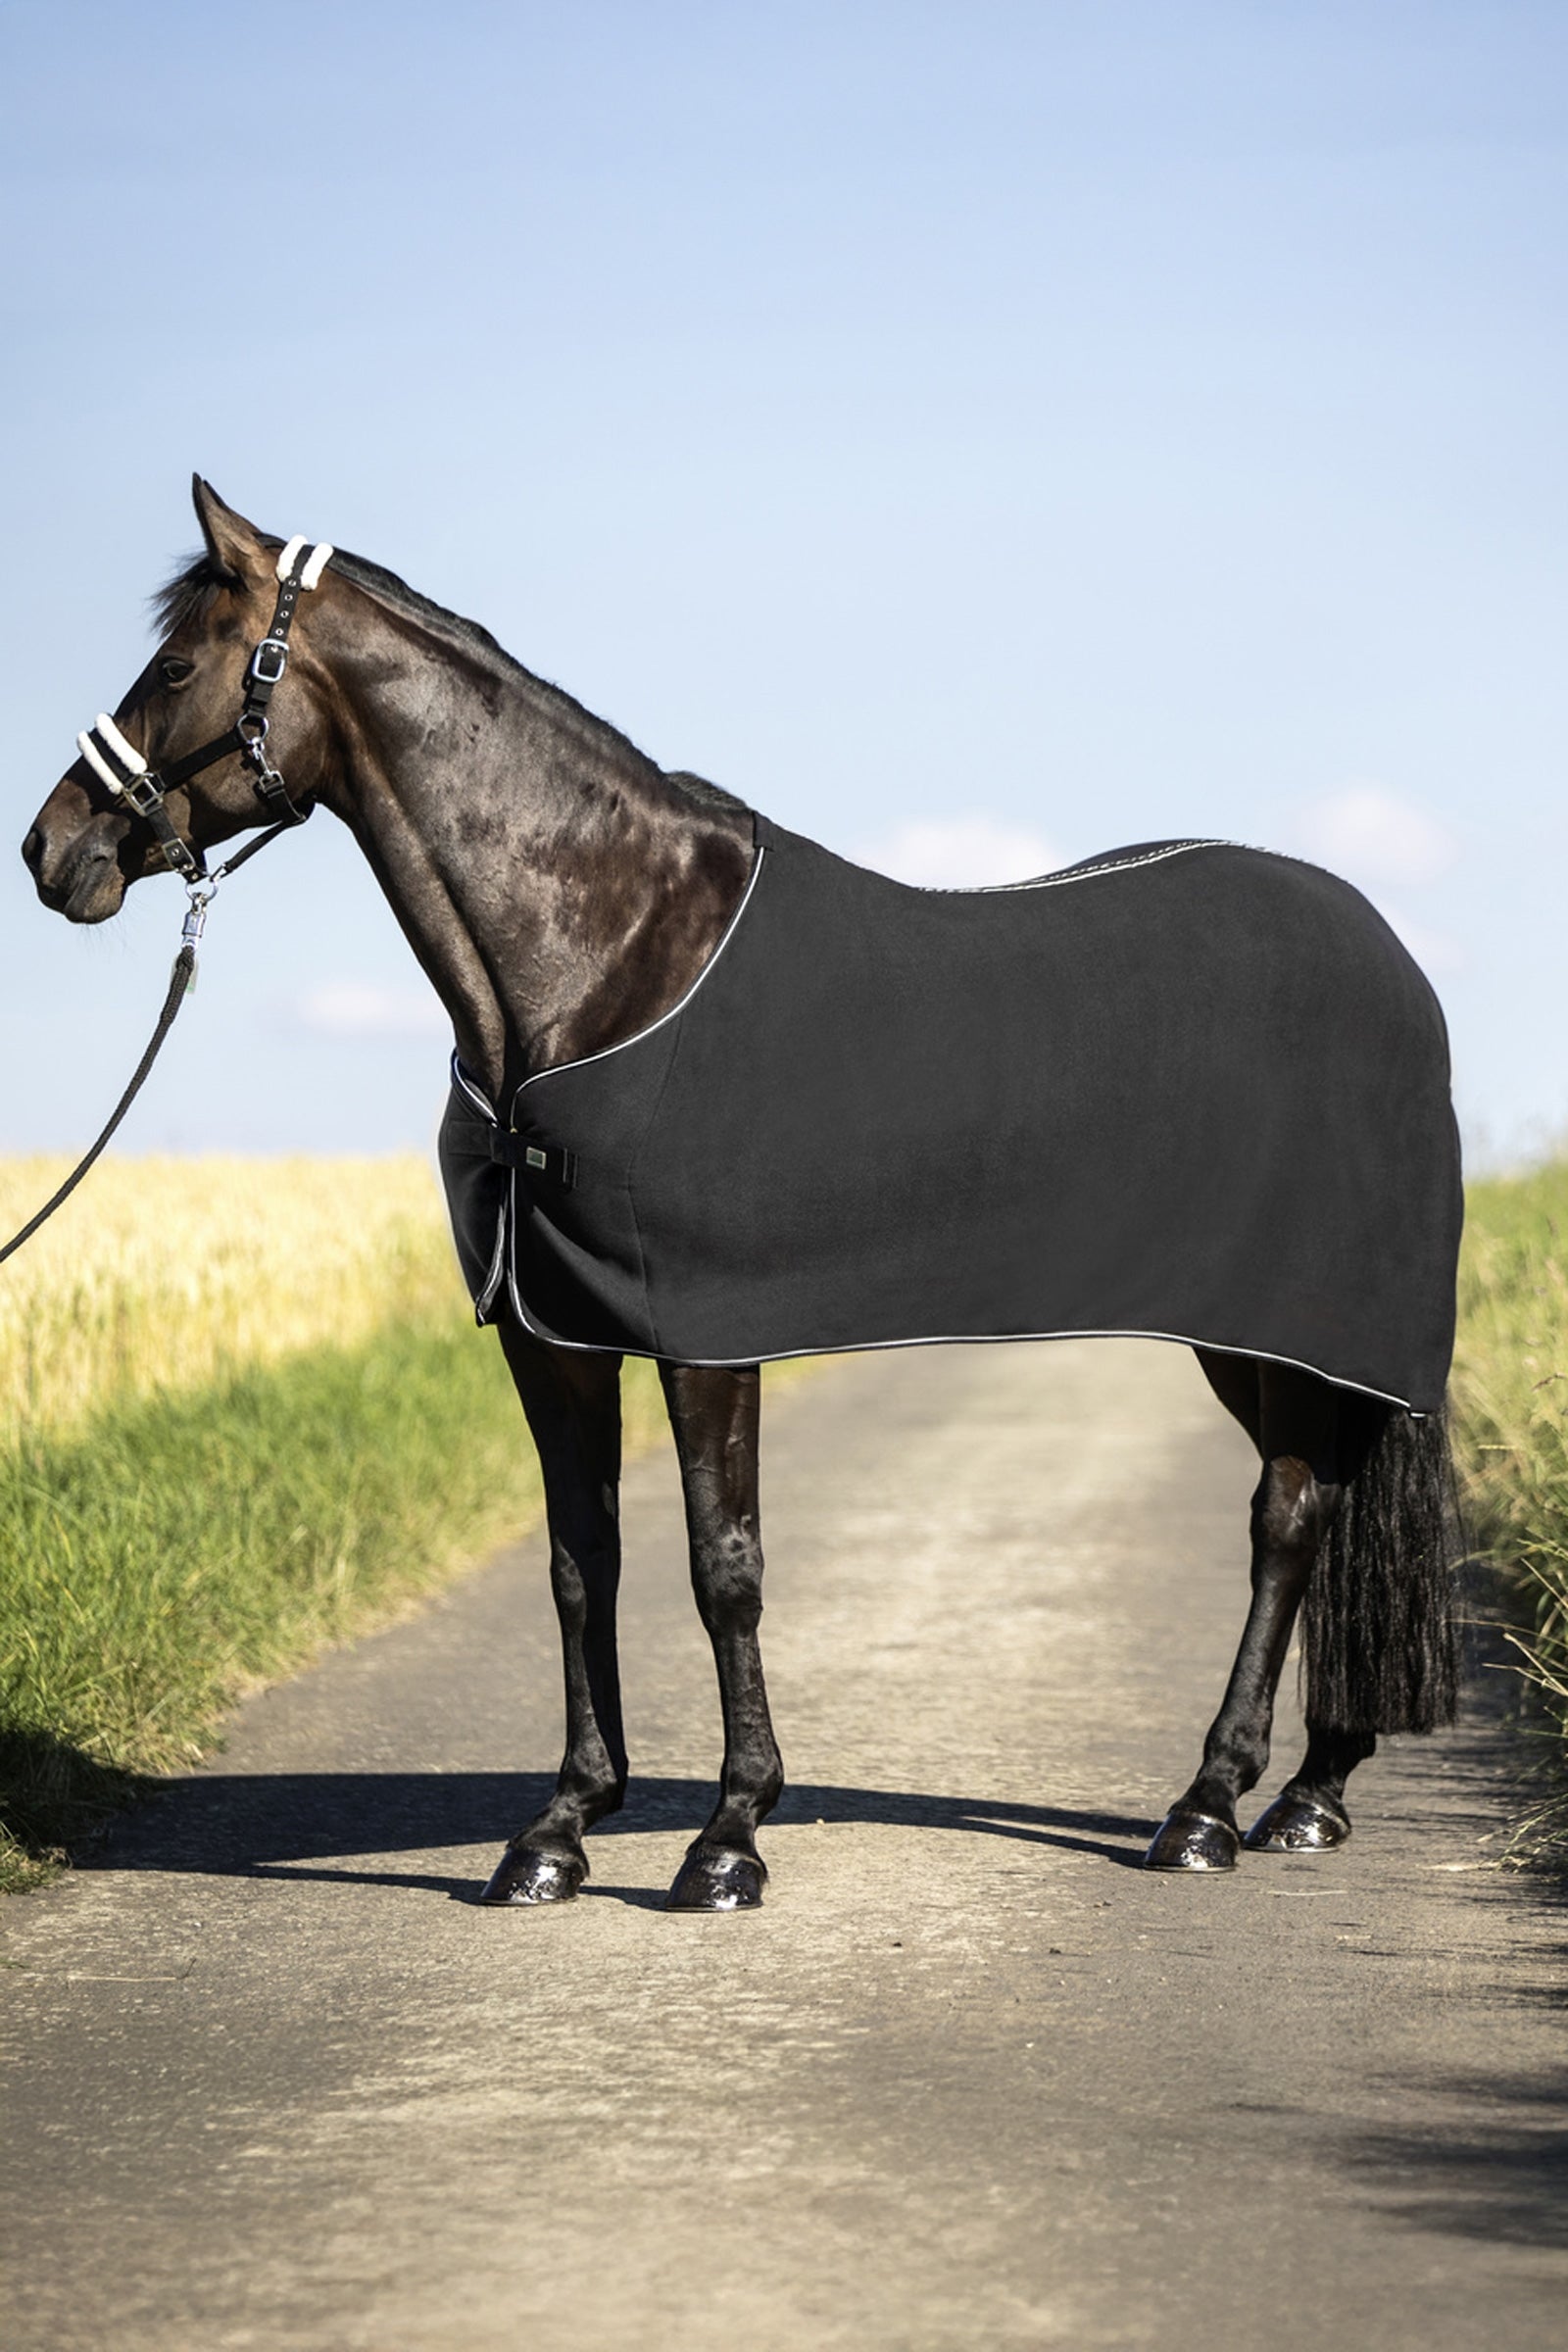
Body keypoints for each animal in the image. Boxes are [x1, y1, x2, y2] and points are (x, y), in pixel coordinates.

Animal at [22, 478, 1461, 1911]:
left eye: (175, 666)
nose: (51, 849)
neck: (602, 960)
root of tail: (1386, 951)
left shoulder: (705, 1335)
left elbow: (725, 1569)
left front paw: (727, 1837)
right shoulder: (551, 1336)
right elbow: (580, 1562)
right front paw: (558, 1828)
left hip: (1284, 1324)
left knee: (1284, 1521)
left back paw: (1210, 1805)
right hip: (1268, 1337)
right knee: (1321, 1507)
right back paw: (1309, 1794)